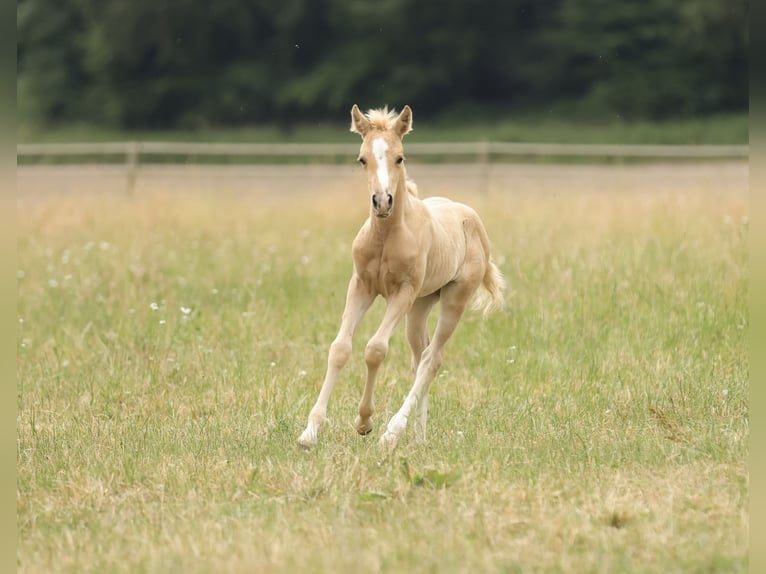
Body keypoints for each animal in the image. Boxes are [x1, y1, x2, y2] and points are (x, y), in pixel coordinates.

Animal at [298, 105, 505, 448]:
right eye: (362, 159)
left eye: (400, 157)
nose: (382, 202)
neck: (386, 236)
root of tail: (472, 218)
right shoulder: (361, 286)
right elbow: (340, 348)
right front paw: (309, 431)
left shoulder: (401, 294)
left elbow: (375, 349)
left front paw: (365, 422)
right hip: (421, 305)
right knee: (419, 357)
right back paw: (418, 436)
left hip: (453, 300)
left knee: (432, 359)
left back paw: (393, 432)